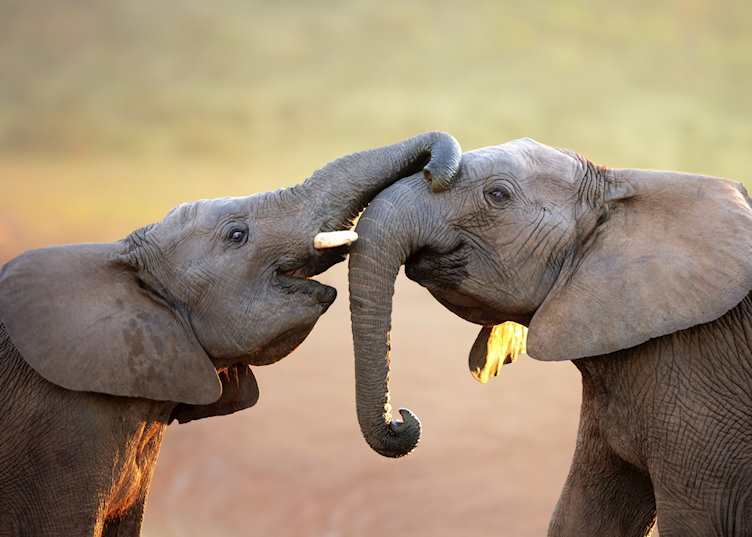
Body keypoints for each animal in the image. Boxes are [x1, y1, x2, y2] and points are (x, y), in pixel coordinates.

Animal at [347, 138, 752, 536]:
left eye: (497, 194)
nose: (402, 420)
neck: (619, 188)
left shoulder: (702, 381)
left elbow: (697, 520)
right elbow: (584, 513)